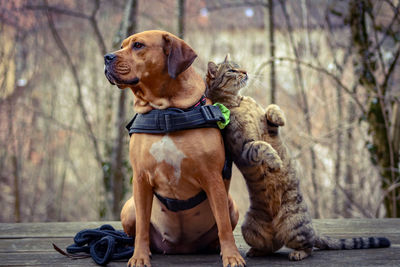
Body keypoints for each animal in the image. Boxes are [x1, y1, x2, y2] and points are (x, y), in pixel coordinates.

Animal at [104, 31, 245, 267]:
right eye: (122, 45)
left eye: (138, 45)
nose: (107, 57)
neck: (166, 112)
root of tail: (181, 247)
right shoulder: (141, 179)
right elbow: (142, 227)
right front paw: (139, 256)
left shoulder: (212, 177)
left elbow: (224, 225)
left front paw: (232, 256)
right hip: (129, 207)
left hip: (232, 205)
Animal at [206, 55, 390, 260]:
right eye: (231, 70)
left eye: (239, 66)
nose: (245, 72)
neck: (239, 101)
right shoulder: (243, 147)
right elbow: (261, 146)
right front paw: (275, 161)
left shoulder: (270, 129)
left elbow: (271, 109)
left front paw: (277, 116)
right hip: (250, 228)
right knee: (285, 247)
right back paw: (262, 251)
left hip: (293, 224)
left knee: (306, 244)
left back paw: (294, 251)